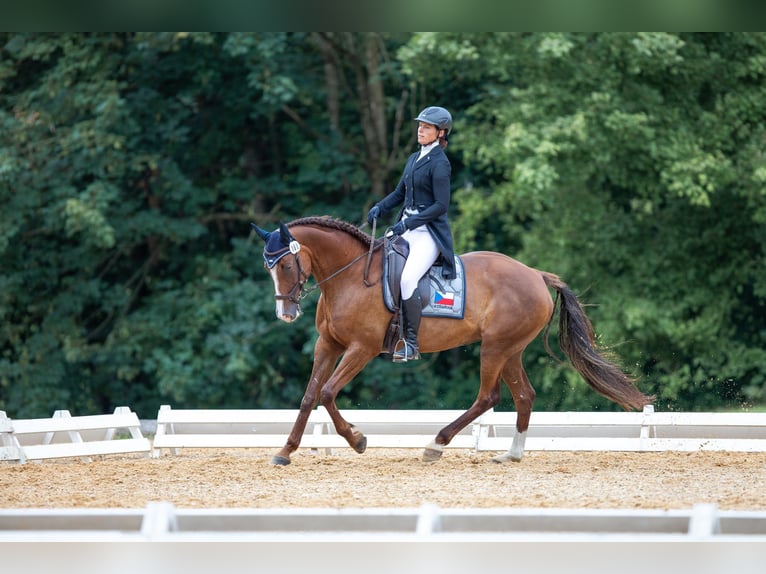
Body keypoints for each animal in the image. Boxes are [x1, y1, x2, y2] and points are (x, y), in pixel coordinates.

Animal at [251, 216, 653, 466]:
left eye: (285, 264)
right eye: (268, 267)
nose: (286, 314)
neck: (350, 277)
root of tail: (536, 275)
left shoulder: (361, 349)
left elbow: (328, 392)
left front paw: (357, 439)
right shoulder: (328, 345)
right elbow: (309, 396)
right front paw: (285, 450)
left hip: (495, 347)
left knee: (488, 397)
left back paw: (436, 444)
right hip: (510, 350)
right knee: (524, 395)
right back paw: (511, 454)